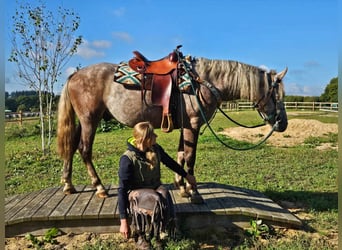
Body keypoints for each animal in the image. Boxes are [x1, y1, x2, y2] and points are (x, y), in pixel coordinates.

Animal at [56, 51, 288, 200]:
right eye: (278, 96)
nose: (283, 123)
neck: (202, 82)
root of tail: (75, 74)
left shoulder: (185, 126)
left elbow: (180, 154)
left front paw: (181, 185)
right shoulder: (193, 125)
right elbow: (190, 157)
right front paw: (193, 191)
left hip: (83, 121)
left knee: (71, 147)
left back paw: (68, 185)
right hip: (90, 120)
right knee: (84, 150)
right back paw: (100, 188)